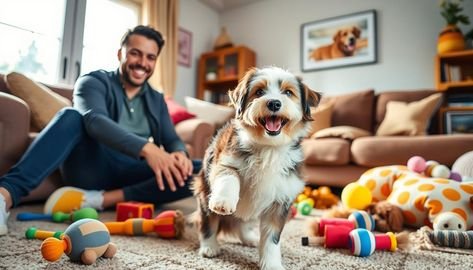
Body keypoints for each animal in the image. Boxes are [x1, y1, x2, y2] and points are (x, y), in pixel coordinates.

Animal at [192, 66, 320, 268]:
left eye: (288, 93)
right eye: (259, 92)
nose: (274, 103)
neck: (268, 148)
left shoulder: (280, 201)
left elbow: (272, 239)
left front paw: (272, 264)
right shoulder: (224, 161)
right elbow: (229, 178)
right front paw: (223, 201)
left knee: (242, 221)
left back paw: (249, 238)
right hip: (203, 192)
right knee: (208, 222)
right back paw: (209, 246)